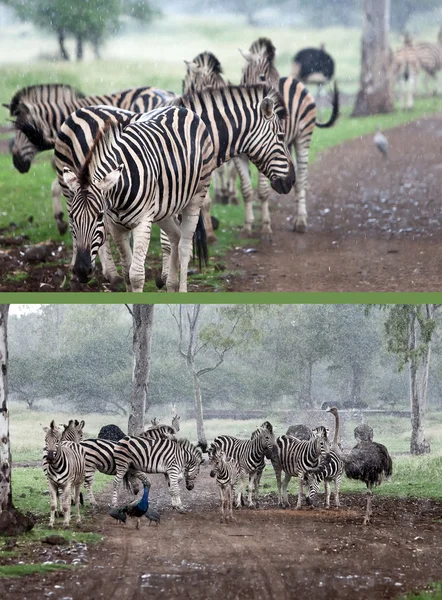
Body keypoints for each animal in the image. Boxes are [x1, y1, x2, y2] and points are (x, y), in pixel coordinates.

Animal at [57, 82, 296, 292]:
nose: (291, 181)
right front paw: (164, 277)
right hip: (68, 185)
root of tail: (77, 112)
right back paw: (98, 273)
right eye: (281, 136)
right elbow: (165, 243)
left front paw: (165, 278)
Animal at [240, 35, 340, 237]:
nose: (279, 110)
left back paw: (300, 221)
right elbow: (246, 191)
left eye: (277, 78)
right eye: (262, 78)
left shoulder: (265, 152)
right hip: (288, 144)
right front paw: (247, 227)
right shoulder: (238, 157)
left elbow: (262, 191)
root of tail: (296, 81)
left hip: (303, 138)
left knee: (301, 181)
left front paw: (265, 227)